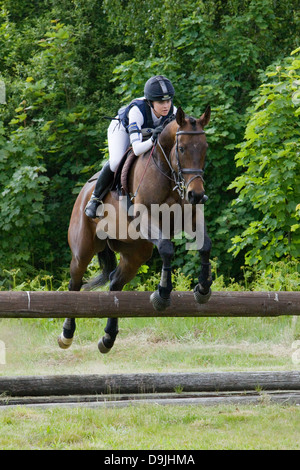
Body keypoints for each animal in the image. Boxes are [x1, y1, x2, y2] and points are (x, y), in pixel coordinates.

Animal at [58, 106, 213, 354]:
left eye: (205, 148)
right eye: (181, 148)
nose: (196, 195)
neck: (167, 174)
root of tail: (84, 191)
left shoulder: (190, 218)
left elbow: (205, 245)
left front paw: (203, 289)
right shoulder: (144, 218)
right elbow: (167, 248)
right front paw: (162, 295)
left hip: (136, 253)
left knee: (115, 284)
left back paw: (108, 337)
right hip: (83, 250)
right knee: (75, 283)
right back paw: (67, 334)